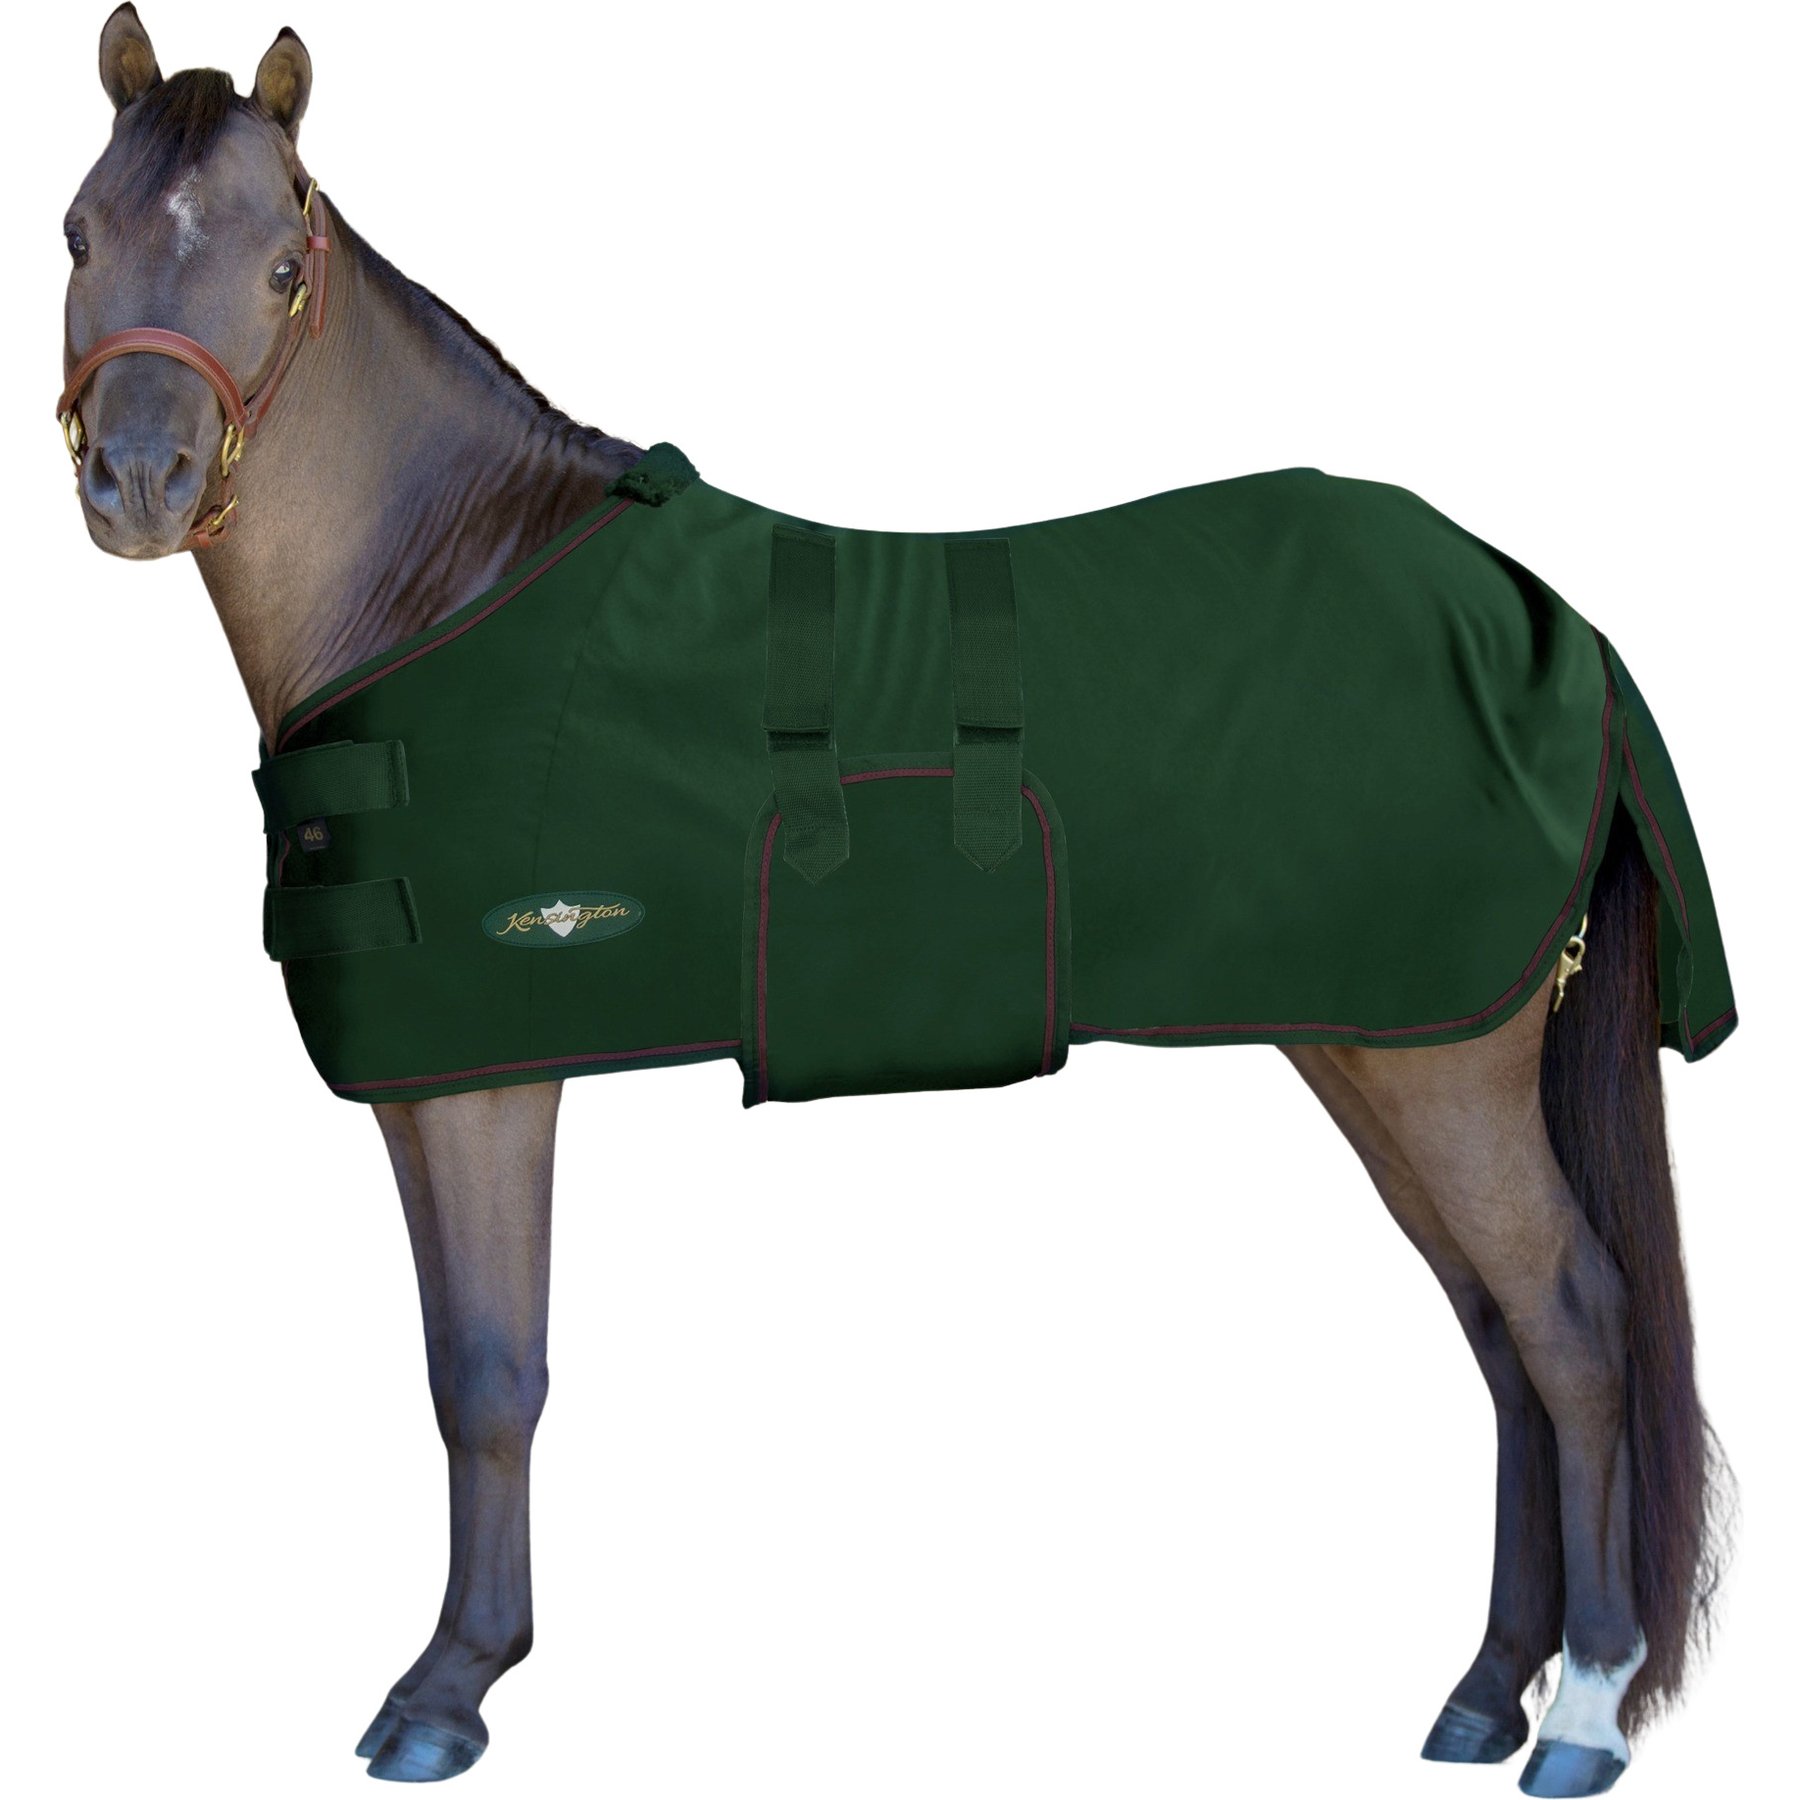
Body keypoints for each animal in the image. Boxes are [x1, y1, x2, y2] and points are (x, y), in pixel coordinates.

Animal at [58, 8, 1738, 1790]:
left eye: (282, 263)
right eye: (79, 235)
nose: (141, 482)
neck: (446, 587)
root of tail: (1536, 606)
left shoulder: (488, 1079)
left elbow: (492, 1375)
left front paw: (450, 1688)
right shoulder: (434, 1085)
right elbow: (465, 1370)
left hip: (1446, 1061)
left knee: (1572, 1323)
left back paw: (1584, 1708)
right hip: (1373, 1041)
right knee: (1500, 1338)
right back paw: (1488, 1687)